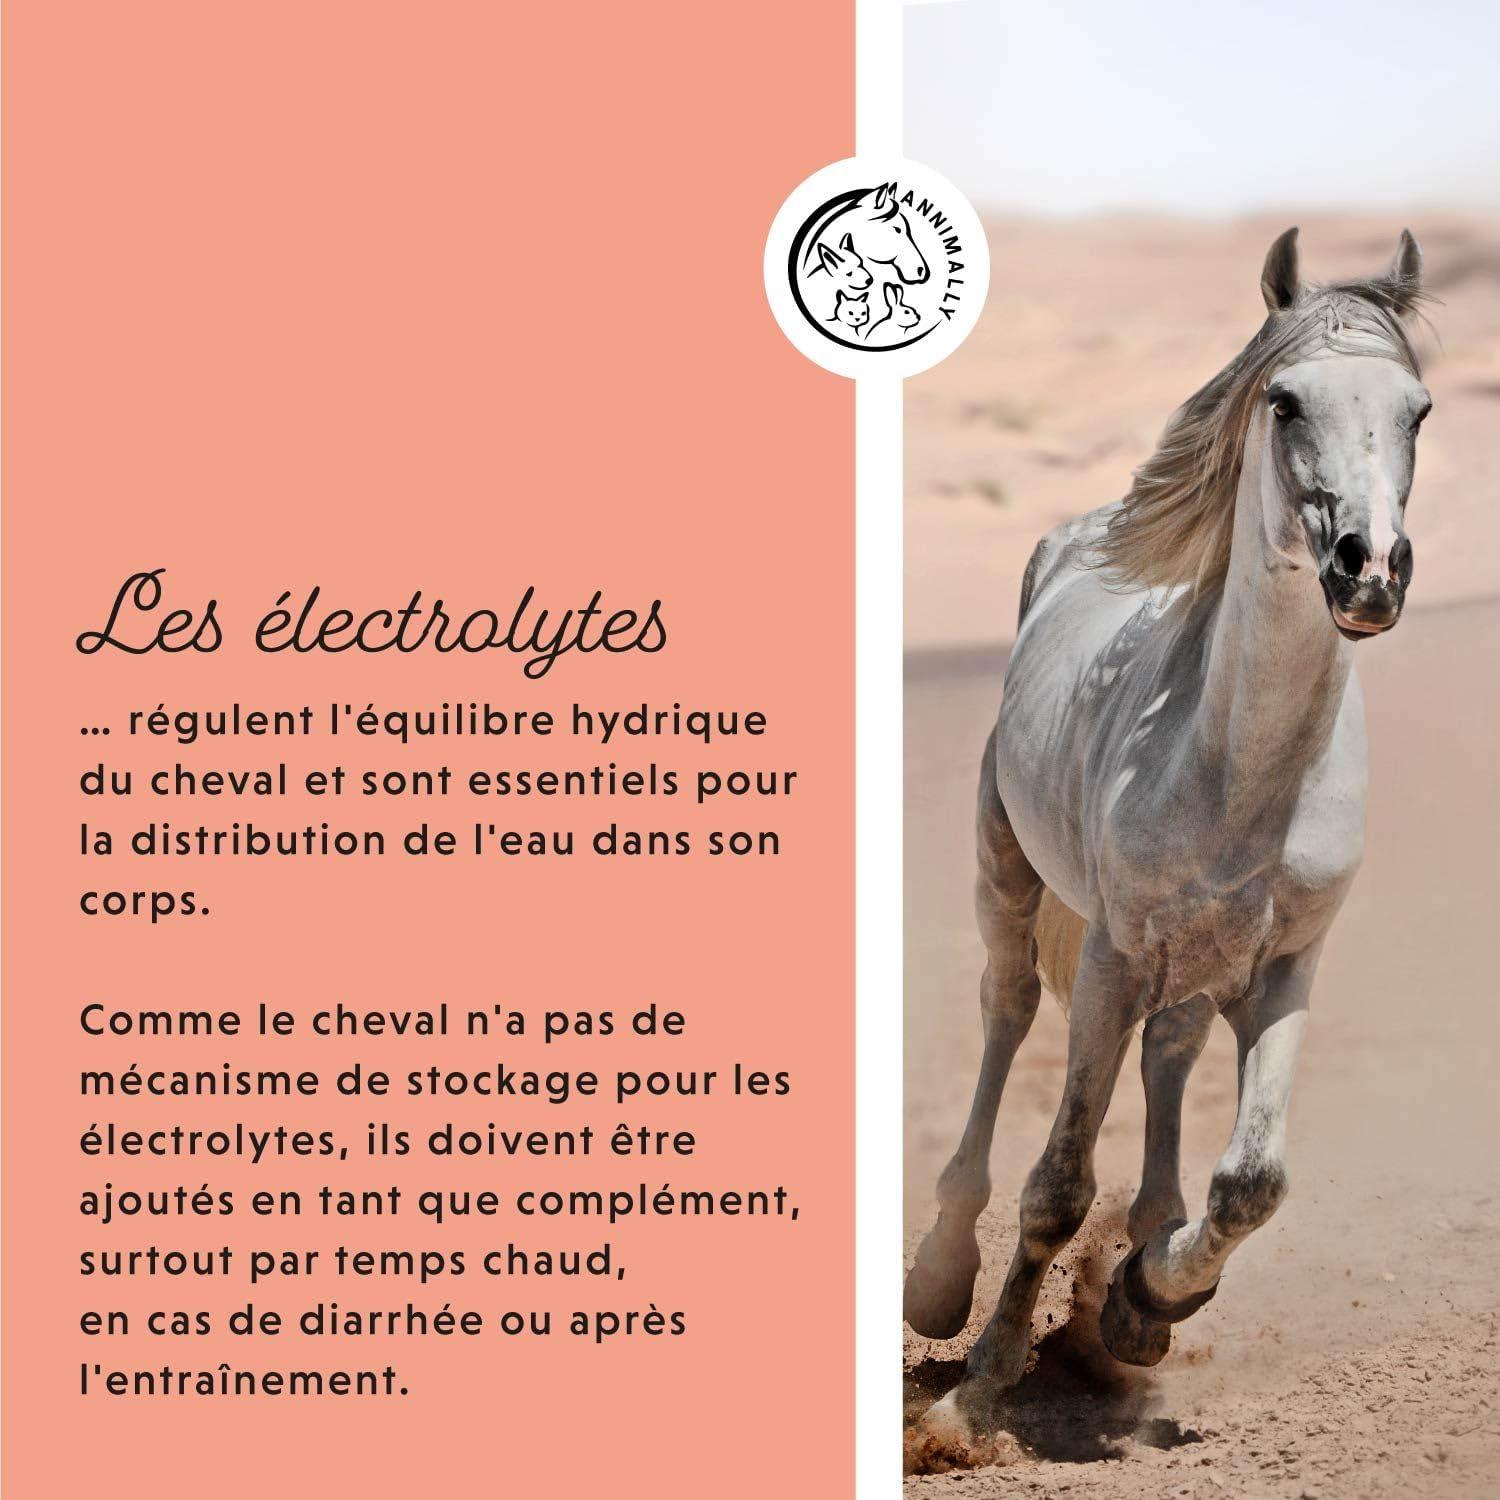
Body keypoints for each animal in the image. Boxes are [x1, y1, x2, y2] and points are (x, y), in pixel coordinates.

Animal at [904, 227, 1431, 1461]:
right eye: (1285, 401)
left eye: (1420, 410)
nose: (1368, 570)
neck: (1240, 768)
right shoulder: (1110, 957)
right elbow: (1056, 1186)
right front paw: (974, 1398)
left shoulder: (1287, 967)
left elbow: (1252, 1182)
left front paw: (1150, 1295)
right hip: (1012, 884)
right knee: (1008, 1017)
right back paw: (940, 1283)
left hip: (1197, 965)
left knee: (1171, 1056)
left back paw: (1145, 1264)